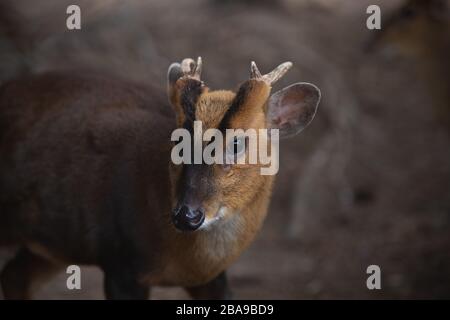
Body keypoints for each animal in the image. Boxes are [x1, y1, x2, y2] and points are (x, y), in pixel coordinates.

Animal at [0, 58, 320, 300]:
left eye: (238, 143)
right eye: (177, 140)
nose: (187, 215)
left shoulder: (211, 277)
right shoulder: (120, 263)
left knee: (14, 277)